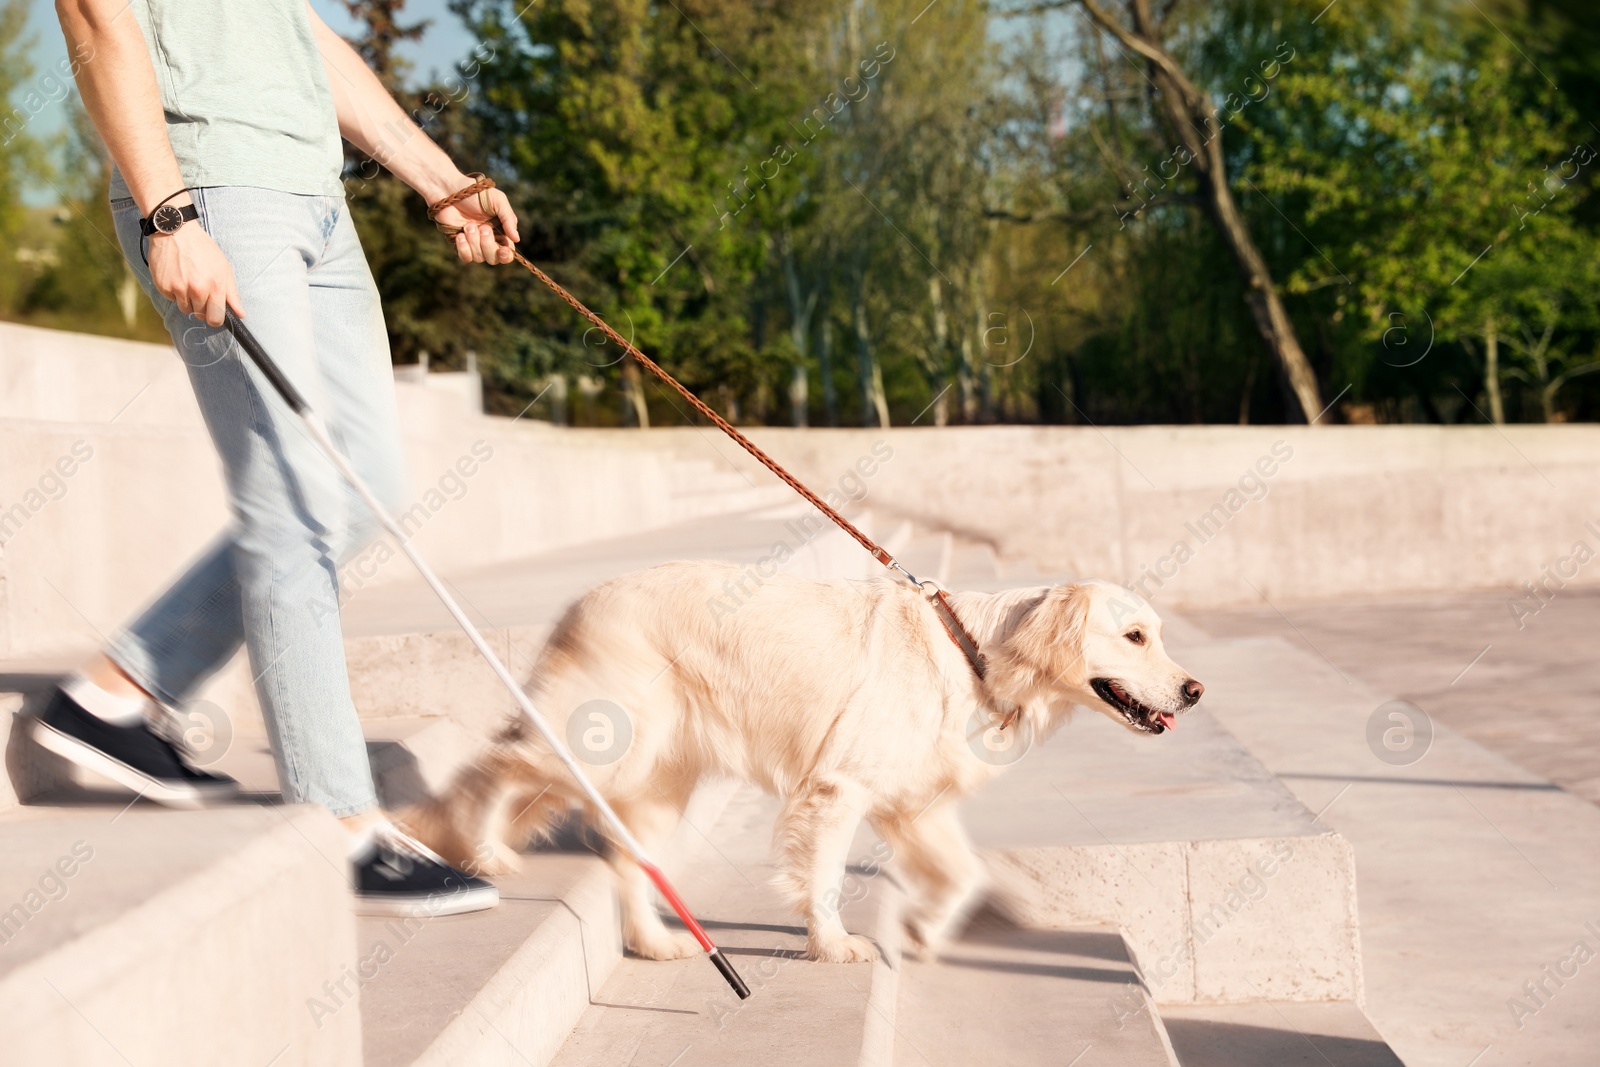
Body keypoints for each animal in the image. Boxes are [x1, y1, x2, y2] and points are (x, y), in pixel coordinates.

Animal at [412, 563, 1203, 966]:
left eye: (1160, 635)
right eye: (1134, 636)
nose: (1195, 691)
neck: (977, 653)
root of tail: (580, 600)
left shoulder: (913, 805)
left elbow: (965, 875)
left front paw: (924, 934)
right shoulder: (838, 788)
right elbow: (821, 876)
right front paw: (833, 944)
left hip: (654, 777)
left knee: (624, 857)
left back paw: (655, 942)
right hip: (603, 742)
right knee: (494, 766)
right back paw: (480, 850)